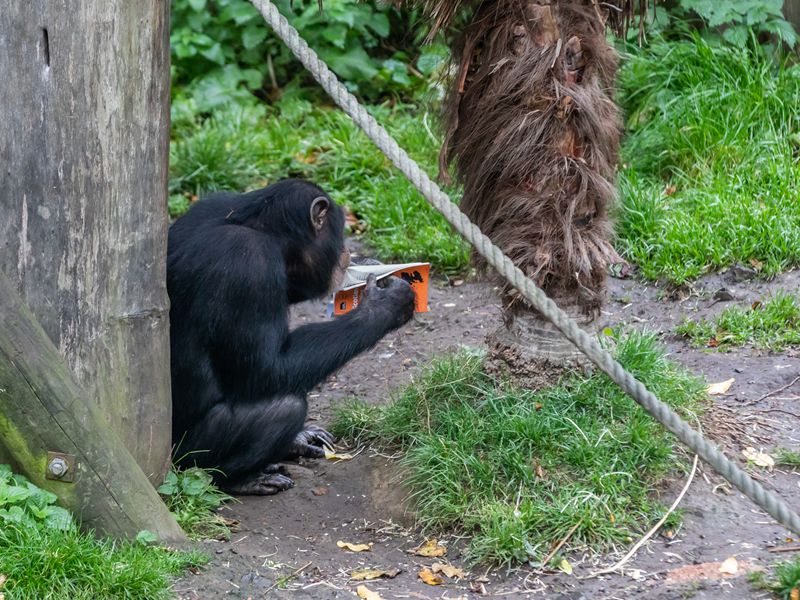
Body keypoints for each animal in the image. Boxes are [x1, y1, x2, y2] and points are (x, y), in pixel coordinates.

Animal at [166, 180, 416, 494]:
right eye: (339, 231)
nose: (347, 252)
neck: (259, 227)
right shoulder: (250, 263)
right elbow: (267, 368)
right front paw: (386, 303)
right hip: (188, 456)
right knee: (286, 407)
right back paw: (242, 479)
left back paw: (297, 441)